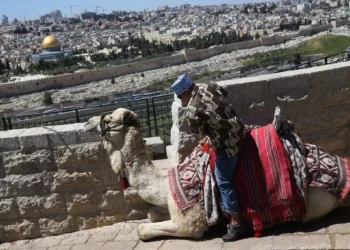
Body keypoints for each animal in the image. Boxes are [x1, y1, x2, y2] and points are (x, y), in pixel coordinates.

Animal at [85, 107, 350, 240]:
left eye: (109, 119)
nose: (88, 123)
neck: (166, 182)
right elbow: (151, 213)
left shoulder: (191, 221)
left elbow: (142, 229)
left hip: (314, 201)